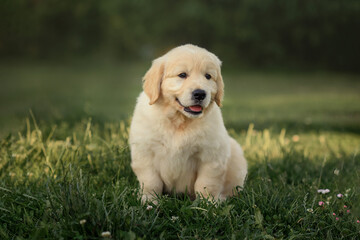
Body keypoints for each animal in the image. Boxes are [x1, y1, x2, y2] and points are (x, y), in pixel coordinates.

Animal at [129, 43, 248, 202]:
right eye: (182, 75)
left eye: (208, 76)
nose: (200, 94)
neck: (179, 121)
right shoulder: (145, 152)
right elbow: (151, 181)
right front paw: (149, 201)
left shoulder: (211, 156)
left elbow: (205, 183)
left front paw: (207, 204)